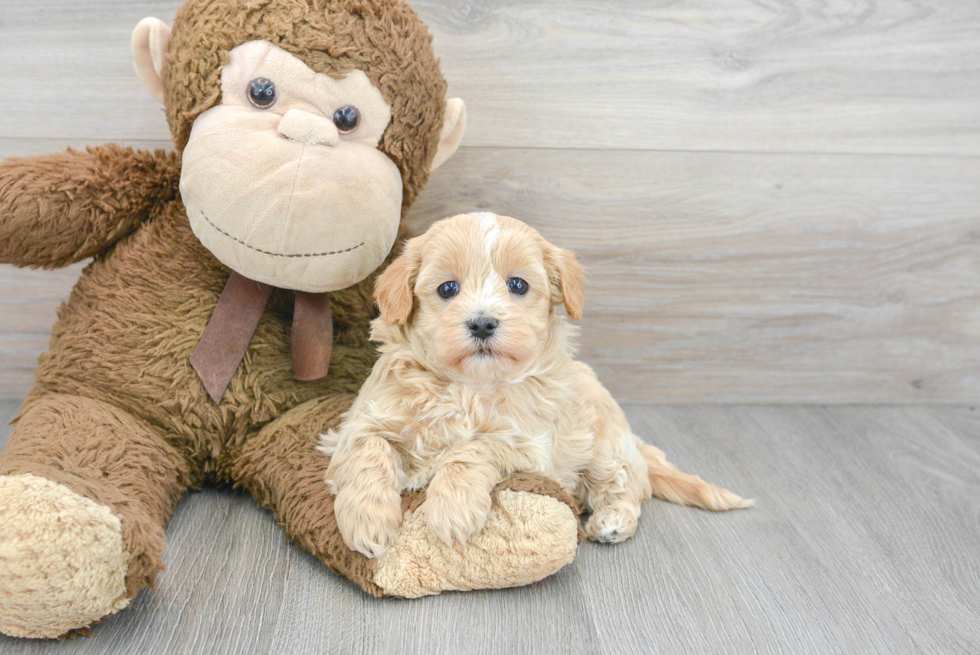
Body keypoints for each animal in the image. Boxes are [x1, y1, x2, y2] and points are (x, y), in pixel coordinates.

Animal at [322, 211, 752, 560]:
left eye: (517, 285)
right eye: (447, 288)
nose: (482, 323)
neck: (468, 387)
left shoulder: (527, 443)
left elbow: (471, 450)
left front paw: (452, 510)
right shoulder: (361, 422)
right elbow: (368, 452)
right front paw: (366, 521)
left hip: (605, 447)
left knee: (625, 486)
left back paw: (613, 521)